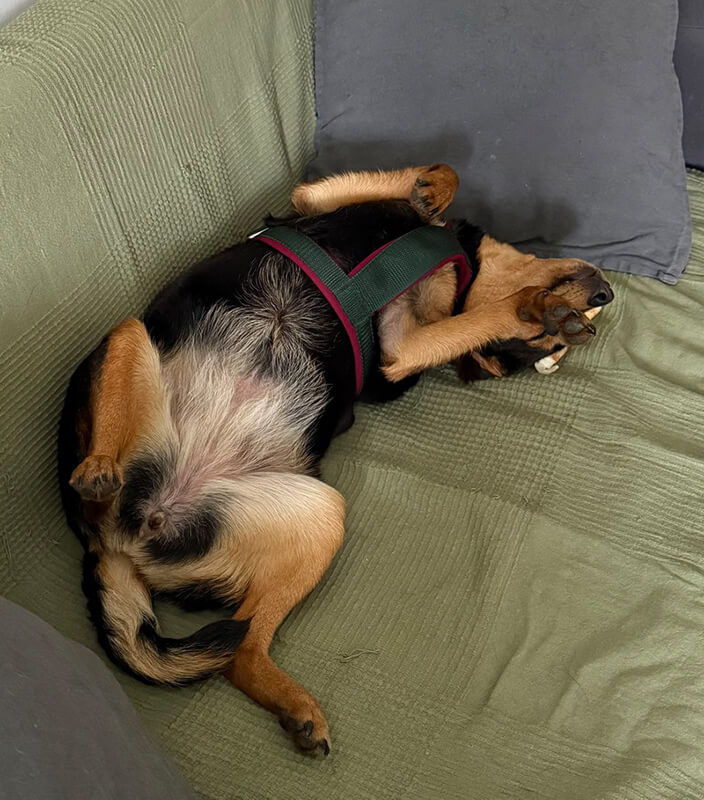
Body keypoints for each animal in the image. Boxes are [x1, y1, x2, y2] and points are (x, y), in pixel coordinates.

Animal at [58, 164, 613, 755]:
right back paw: (98, 472)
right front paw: (432, 194)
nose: (606, 293)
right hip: (129, 337)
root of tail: (116, 545)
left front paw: (526, 305)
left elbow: (473, 317)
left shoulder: (399, 348)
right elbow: (434, 175)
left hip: (322, 515)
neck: (455, 271)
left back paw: (296, 707)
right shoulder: (311, 200)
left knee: (240, 655)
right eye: (550, 346)